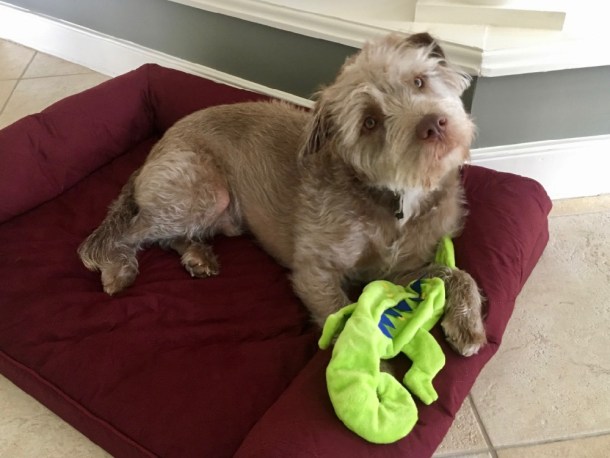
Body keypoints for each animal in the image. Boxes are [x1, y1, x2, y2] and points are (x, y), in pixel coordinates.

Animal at [78, 32, 487, 357]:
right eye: (370, 122)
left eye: (419, 81)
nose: (434, 124)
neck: (396, 199)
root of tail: (155, 149)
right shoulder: (315, 271)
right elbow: (342, 321)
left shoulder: (397, 271)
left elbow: (457, 273)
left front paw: (468, 324)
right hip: (204, 193)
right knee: (128, 232)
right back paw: (119, 266)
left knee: (167, 236)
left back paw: (196, 256)